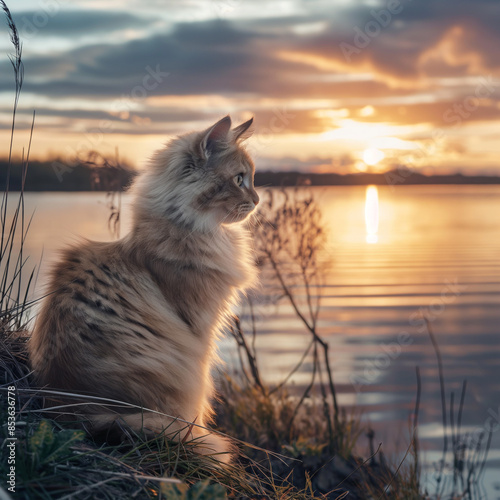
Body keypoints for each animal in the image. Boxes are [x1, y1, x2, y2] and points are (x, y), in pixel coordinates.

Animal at [29, 114, 260, 460]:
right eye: (239, 179)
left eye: (251, 179)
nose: (258, 200)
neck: (186, 227)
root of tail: (74, 409)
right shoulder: (201, 332)